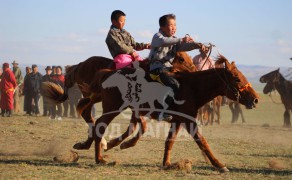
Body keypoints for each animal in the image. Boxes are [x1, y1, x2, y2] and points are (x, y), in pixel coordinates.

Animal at [41, 51, 196, 150]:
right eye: (182, 58)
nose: (195, 69)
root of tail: (79, 65)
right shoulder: (136, 107)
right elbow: (140, 126)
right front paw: (117, 144)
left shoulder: (135, 109)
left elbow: (134, 127)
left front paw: (116, 144)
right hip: (92, 95)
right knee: (86, 113)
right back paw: (93, 143)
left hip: (95, 96)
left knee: (86, 112)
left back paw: (92, 143)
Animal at [91, 55, 258, 172]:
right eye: (237, 78)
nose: (255, 99)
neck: (193, 87)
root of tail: (108, 74)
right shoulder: (188, 120)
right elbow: (202, 142)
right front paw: (219, 165)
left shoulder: (177, 121)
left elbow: (169, 142)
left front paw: (167, 163)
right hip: (113, 108)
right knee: (100, 125)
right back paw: (99, 158)